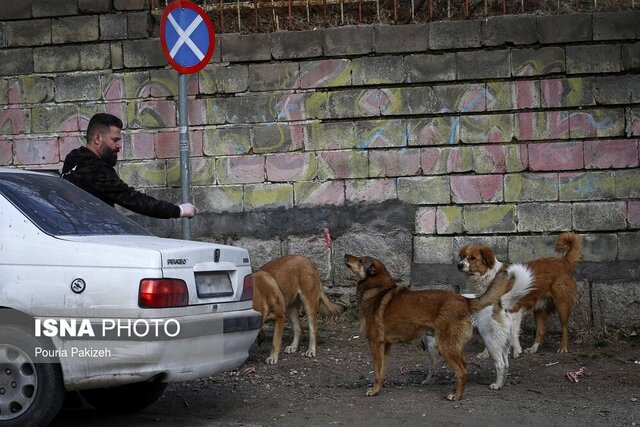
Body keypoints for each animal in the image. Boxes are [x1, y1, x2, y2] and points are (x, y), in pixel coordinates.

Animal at [344, 254, 520, 402]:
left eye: (360, 260)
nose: (345, 254)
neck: (376, 289)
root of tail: (465, 301)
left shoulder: (375, 344)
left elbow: (376, 372)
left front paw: (373, 391)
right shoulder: (385, 346)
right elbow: (381, 372)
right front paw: (378, 390)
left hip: (451, 346)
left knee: (463, 372)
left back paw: (456, 396)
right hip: (457, 346)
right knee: (469, 367)